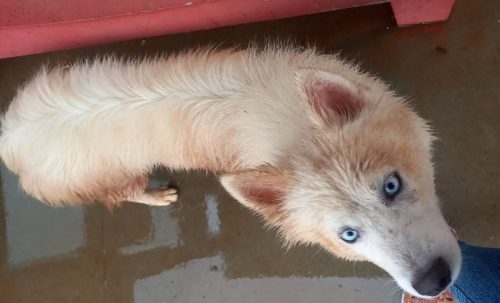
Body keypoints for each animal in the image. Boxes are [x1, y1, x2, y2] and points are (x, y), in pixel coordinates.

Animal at [0, 47, 460, 300]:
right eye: (348, 235)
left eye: (391, 185)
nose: (433, 282)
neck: (288, 133)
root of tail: (11, 139)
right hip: (117, 177)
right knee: (125, 193)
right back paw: (157, 195)